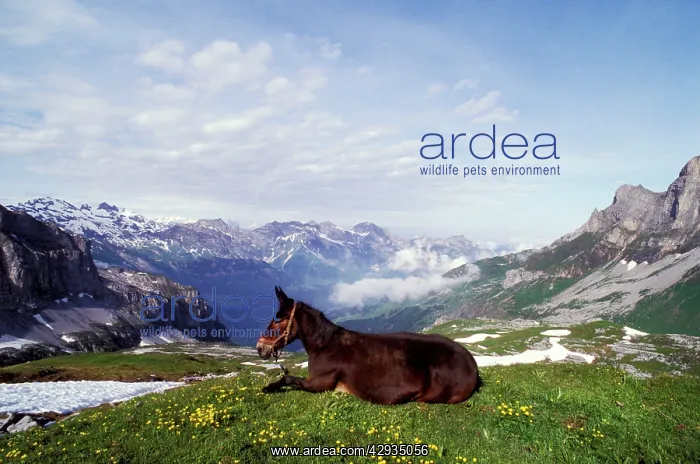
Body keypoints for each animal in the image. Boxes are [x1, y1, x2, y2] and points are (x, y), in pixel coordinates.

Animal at [255, 286, 482, 405]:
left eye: (279, 319)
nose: (259, 348)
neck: (324, 345)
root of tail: (472, 364)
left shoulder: (320, 383)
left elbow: (288, 378)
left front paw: (269, 387)